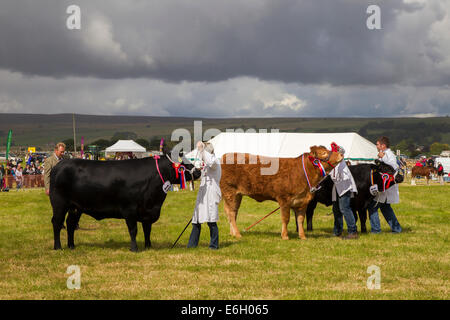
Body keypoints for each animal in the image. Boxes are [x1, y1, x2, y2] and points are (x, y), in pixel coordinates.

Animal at [48, 156, 200, 252]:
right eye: (183, 164)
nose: (198, 171)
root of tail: (59, 165)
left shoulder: (147, 211)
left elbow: (147, 229)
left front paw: (148, 246)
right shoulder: (130, 209)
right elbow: (133, 230)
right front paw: (134, 249)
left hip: (76, 207)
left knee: (70, 224)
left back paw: (71, 246)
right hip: (59, 203)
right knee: (57, 222)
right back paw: (58, 247)